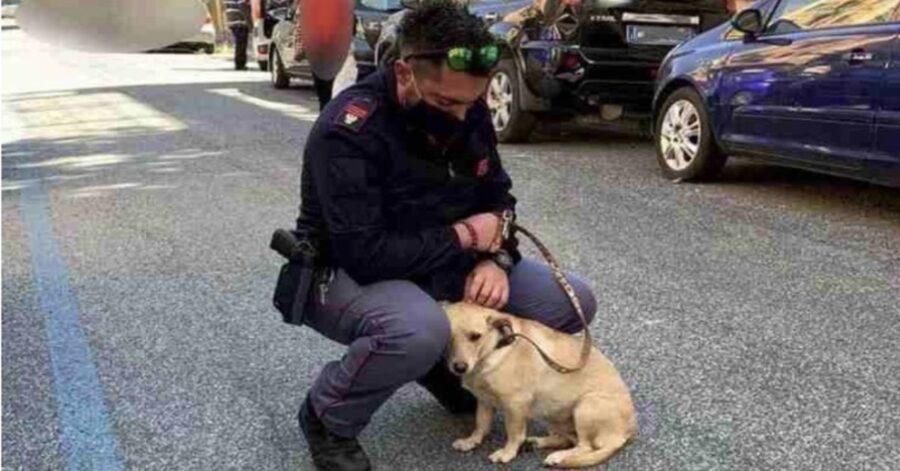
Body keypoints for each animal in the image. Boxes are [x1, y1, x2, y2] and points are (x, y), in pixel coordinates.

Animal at [442, 302, 636, 468]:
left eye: (475, 336)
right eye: (448, 338)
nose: (459, 367)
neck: (494, 350)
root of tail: (627, 432)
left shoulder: (516, 404)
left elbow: (514, 433)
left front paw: (507, 453)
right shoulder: (484, 400)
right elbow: (480, 425)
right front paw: (471, 441)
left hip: (586, 405)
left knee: (585, 446)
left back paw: (558, 457)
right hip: (554, 414)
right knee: (566, 439)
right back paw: (537, 442)